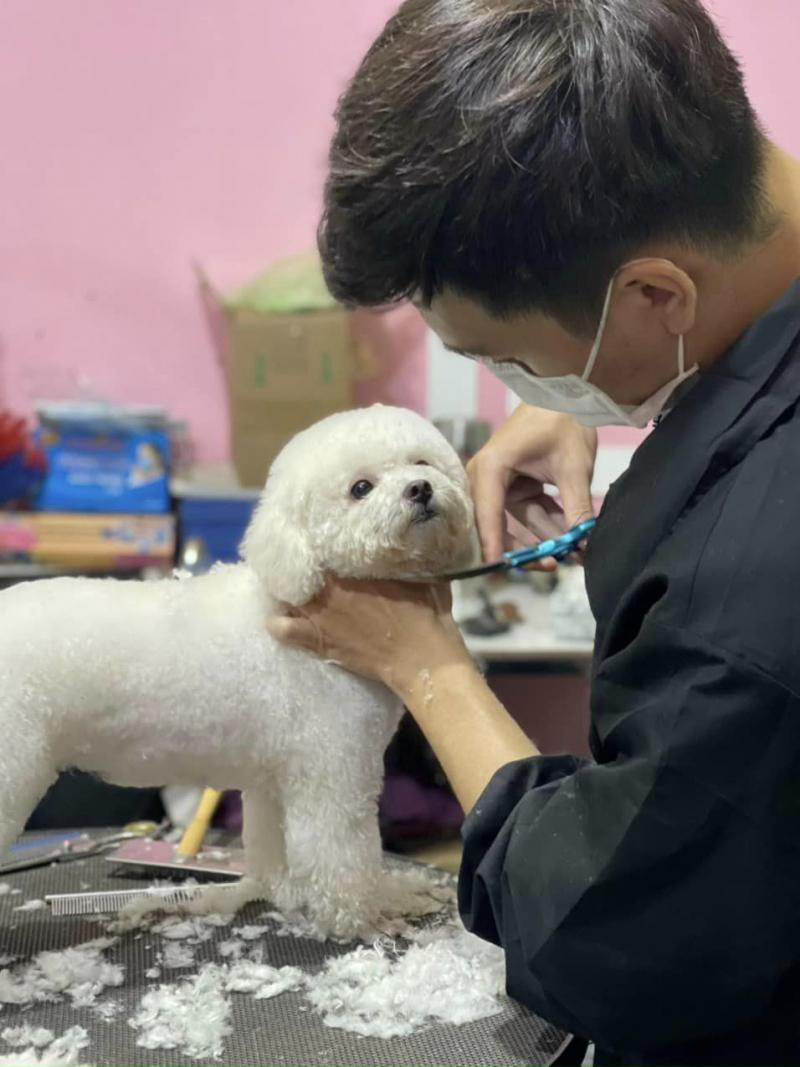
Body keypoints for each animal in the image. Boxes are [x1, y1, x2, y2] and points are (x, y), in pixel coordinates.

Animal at [0, 405, 475, 934]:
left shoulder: (277, 778)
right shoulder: (332, 771)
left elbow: (280, 850)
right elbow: (343, 858)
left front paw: (299, 894)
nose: (421, 489)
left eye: (422, 463)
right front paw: (364, 918)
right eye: (361, 488)